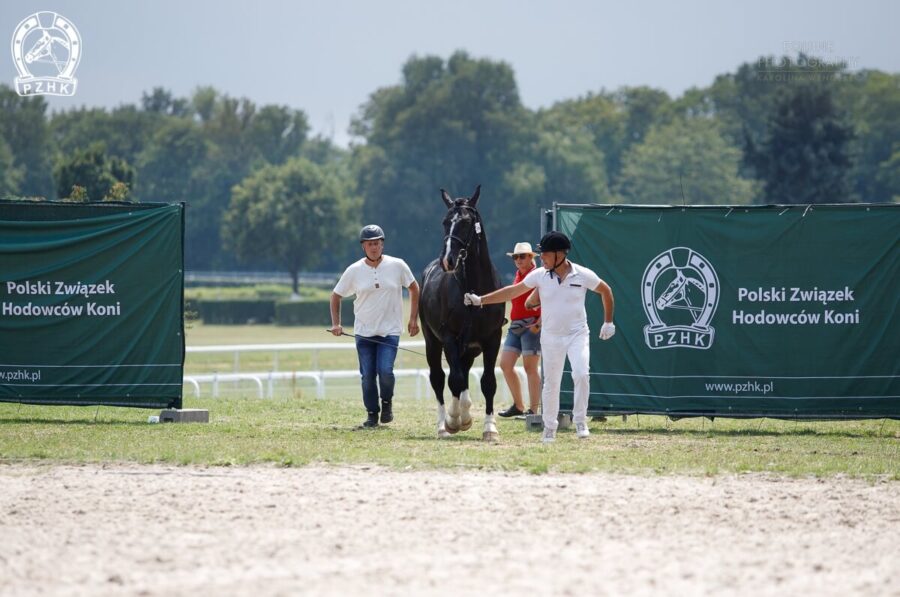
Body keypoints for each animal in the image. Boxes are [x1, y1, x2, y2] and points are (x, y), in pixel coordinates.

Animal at [416, 184, 506, 440]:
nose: (447, 260)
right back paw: (443, 426)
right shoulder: (449, 338)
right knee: (440, 378)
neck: (474, 286)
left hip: (469, 348)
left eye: (466, 222)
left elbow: (488, 382)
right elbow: (455, 381)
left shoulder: (492, 339)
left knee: (463, 374)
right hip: (433, 342)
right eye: (445, 222)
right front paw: (455, 420)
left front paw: (489, 428)